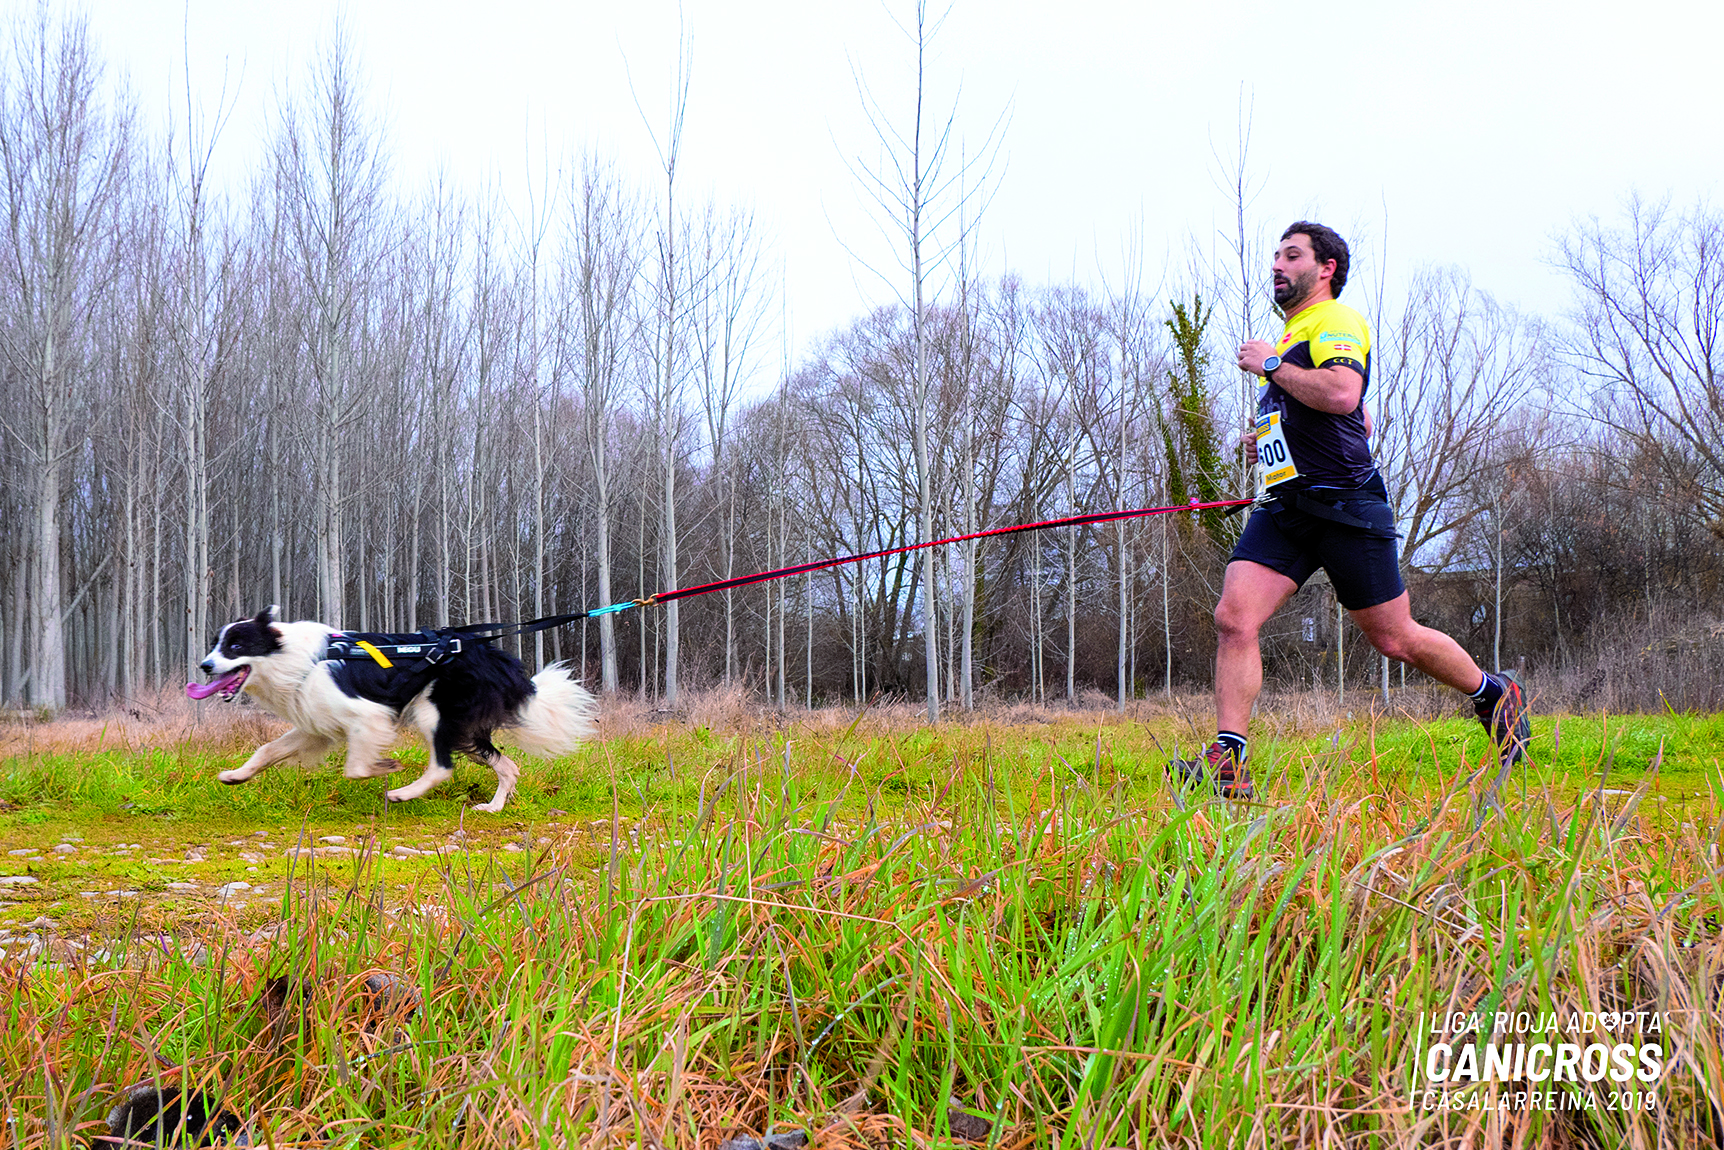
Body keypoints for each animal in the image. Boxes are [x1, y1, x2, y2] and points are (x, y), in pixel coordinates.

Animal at [190, 606, 599, 813]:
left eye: (236, 646)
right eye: (215, 644)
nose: (205, 666)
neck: (294, 658)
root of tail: (500, 661)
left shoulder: (368, 715)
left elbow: (355, 767)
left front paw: (385, 767)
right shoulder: (314, 725)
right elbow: (267, 750)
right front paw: (236, 775)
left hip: (434, 713)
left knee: (442, 766)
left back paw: (403, 793)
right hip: (465, 731)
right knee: (507, 766)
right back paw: (494, 807)